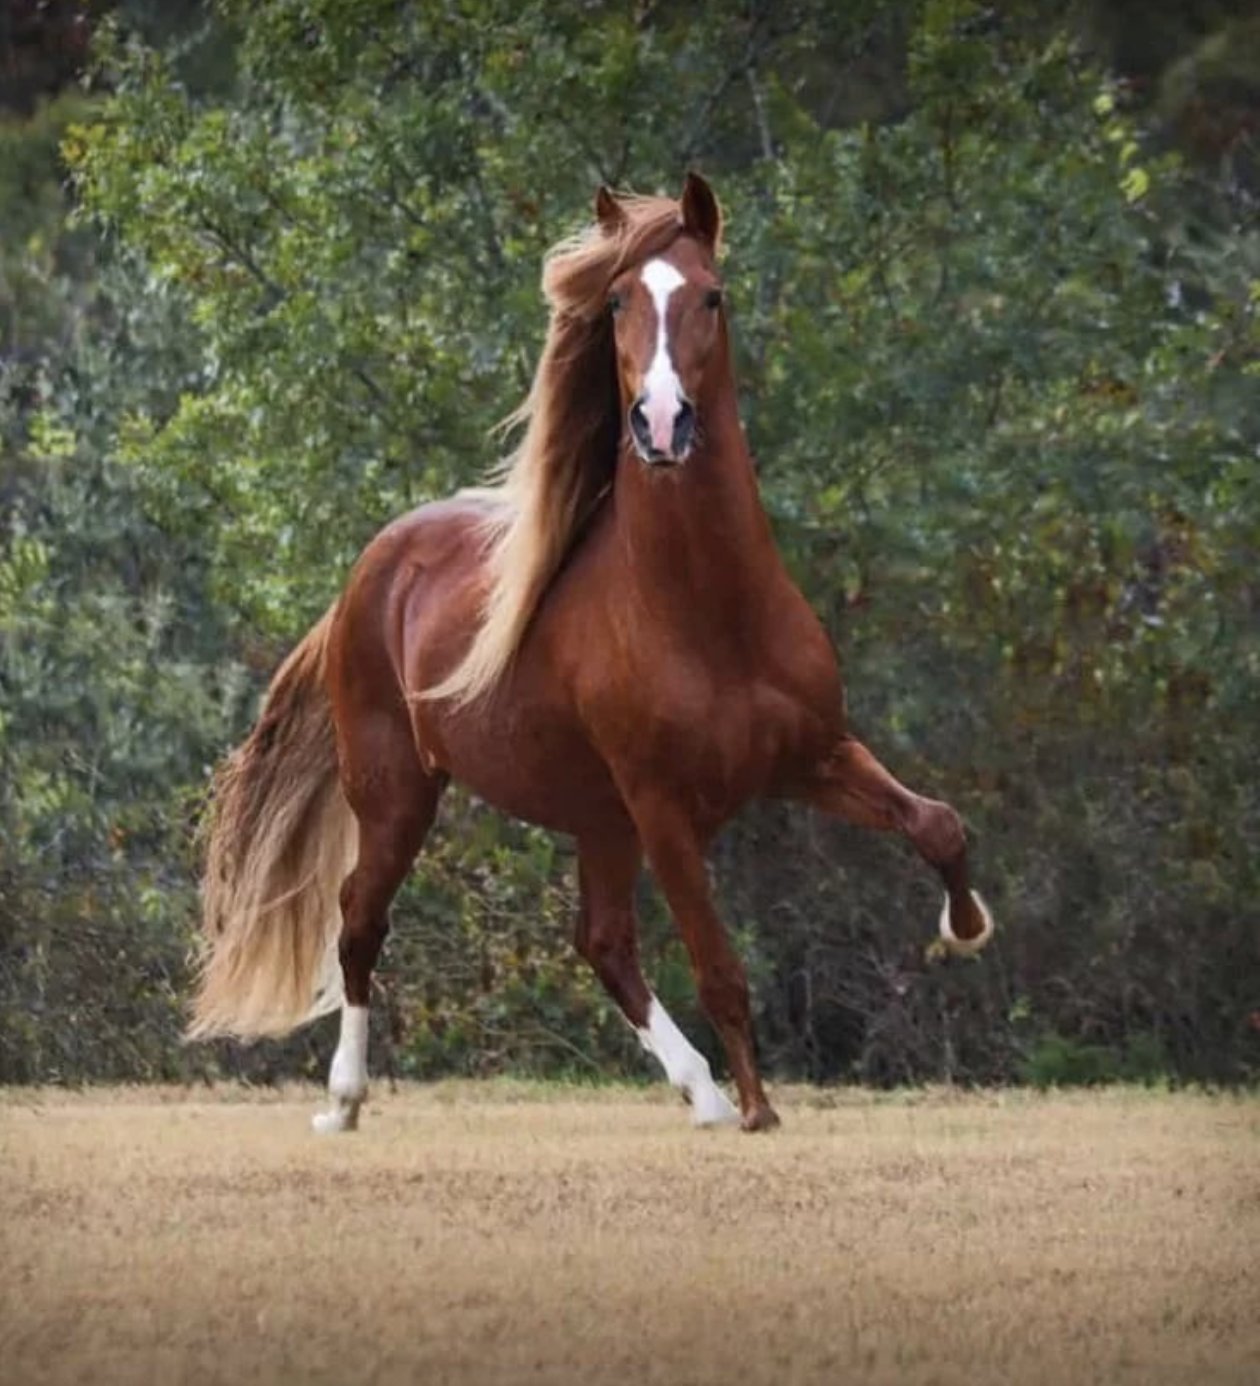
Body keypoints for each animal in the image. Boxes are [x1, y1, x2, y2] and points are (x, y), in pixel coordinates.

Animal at [189, 173, 992, 1130]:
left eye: (711, 296)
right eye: (616, 302)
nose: (661, 423)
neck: (709, 611)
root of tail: (368, 576)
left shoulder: (813, 758)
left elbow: (936, 822)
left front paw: (966, 929)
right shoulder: (664, 808)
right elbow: (720, 965)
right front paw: (762, 1112)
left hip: (594, 819)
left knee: (602, 943)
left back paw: (701, 1096)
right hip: (398, 791)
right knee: (359, 921)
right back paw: (345, 1102)